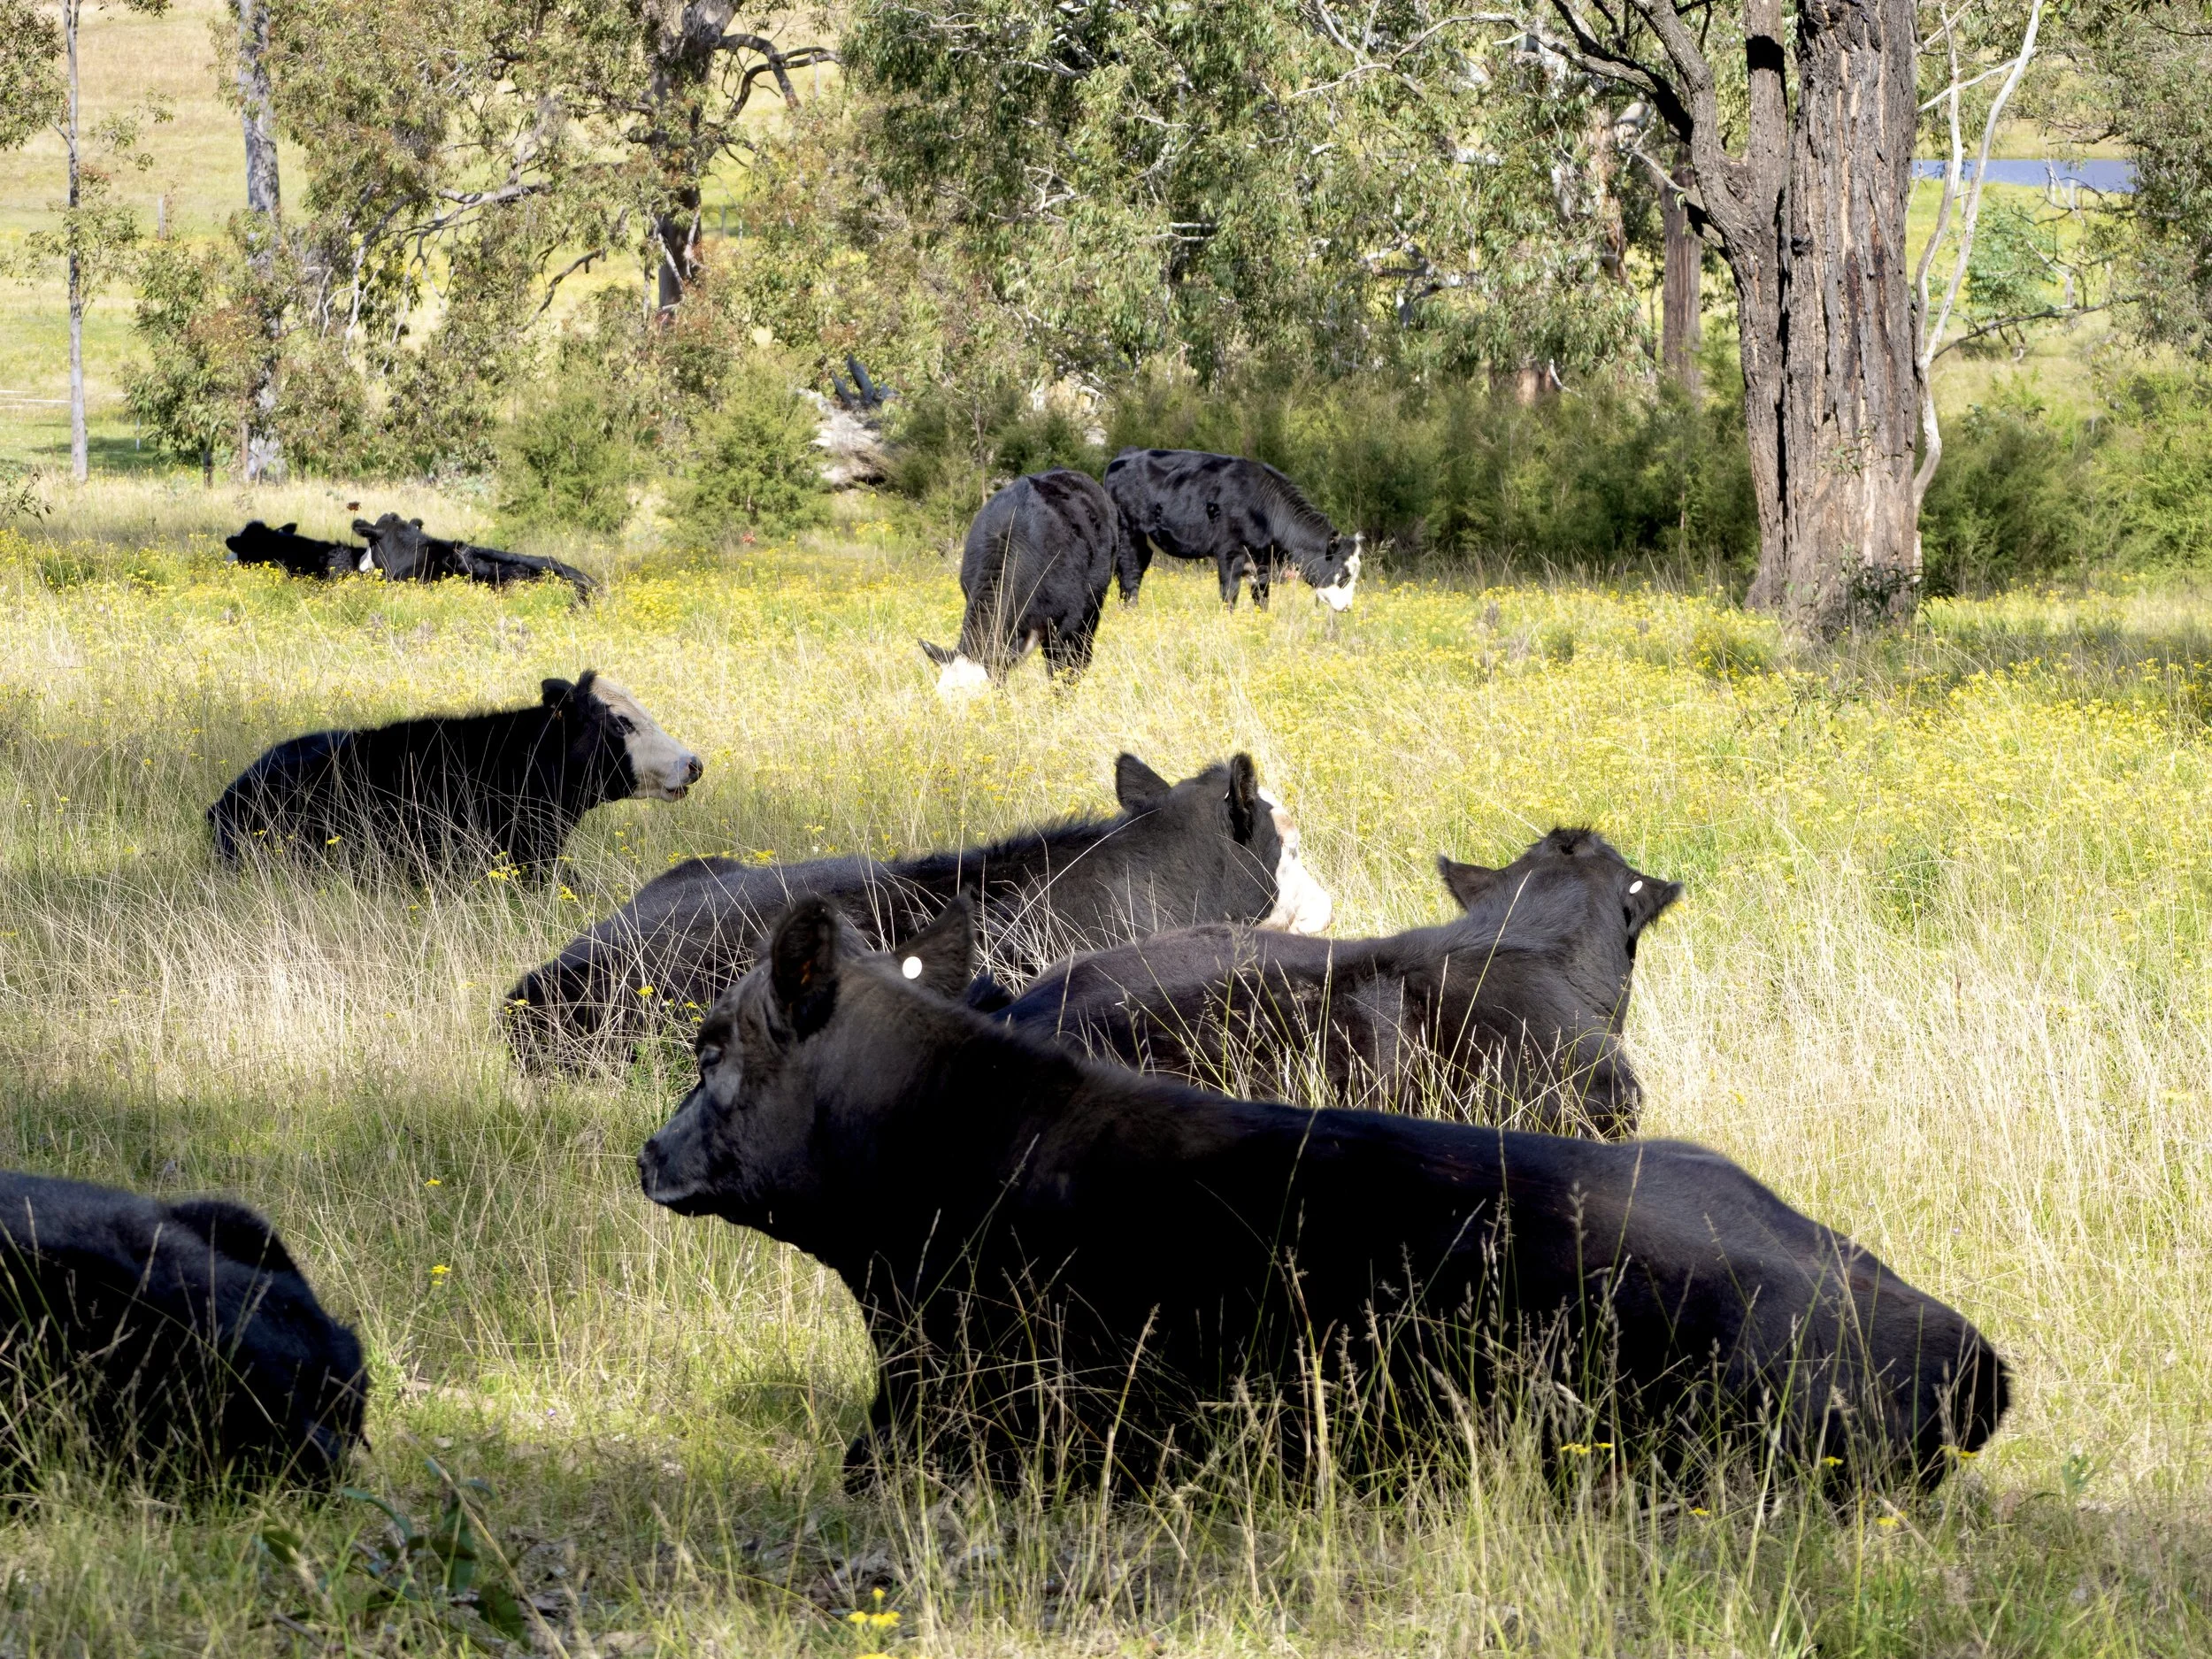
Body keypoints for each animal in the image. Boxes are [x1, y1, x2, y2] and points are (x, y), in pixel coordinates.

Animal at [1103, 448, 1361, 612]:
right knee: (1129, 578)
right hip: (1128, 536)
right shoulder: (1230, 553)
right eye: (1343, 574)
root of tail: (1125, 456)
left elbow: (1262, 599)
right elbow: (1229, 596)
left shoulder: (1262, 561)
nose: (1347, 607)